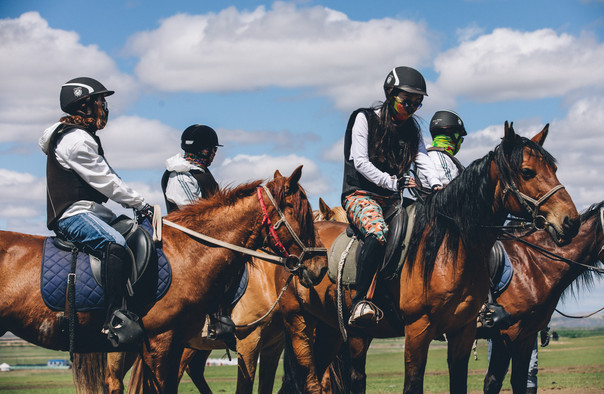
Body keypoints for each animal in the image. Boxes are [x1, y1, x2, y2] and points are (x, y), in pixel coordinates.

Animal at [276, 121, 580, 392]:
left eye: (554, 169)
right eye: (527, 172)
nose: (570, 221)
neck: (449, 251)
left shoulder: (464, 331)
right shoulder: (419, 330)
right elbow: (414, 385)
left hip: (337, 332)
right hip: (302, 328)